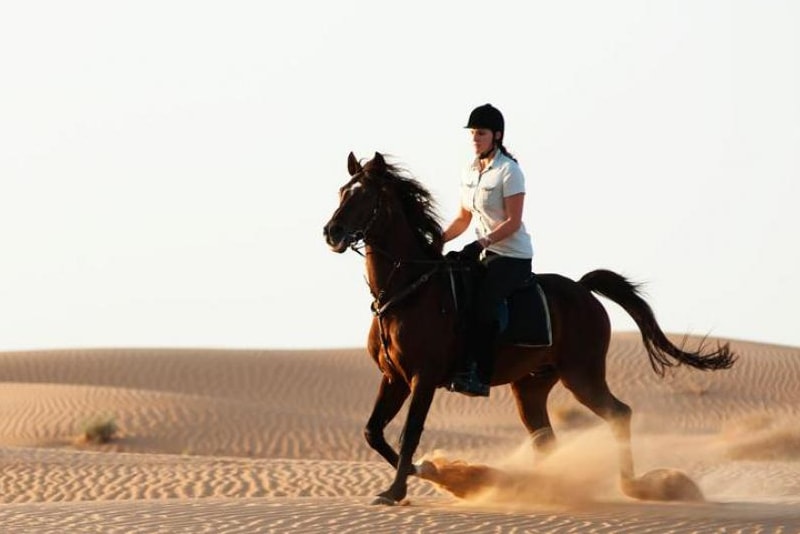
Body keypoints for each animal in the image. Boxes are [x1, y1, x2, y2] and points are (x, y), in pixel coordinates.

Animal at [322, 151, 736, 506]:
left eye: (365, 196)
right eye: (343, 191)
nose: (332, 232)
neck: (409, 289)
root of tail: (583, 290)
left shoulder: (422, 378)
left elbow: (409, 434)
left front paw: (403, 486)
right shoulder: (394, 378)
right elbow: (373, 432)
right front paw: (428, 473)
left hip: (582, 375)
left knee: (619, 413)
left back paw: (631, 487)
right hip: (531, 386)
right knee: (545, 439)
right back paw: (545, 488)